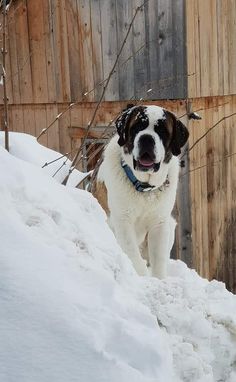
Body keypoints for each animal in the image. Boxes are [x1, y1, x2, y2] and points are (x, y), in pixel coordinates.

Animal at [91, 104, 189, 278]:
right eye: (137, 127)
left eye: (162, 130)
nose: (146, 138)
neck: (144, 188)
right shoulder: (123, 221)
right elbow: (132, 254)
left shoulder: (159, 224)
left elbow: (158, 259)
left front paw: (159, 280)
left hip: (170, 224)